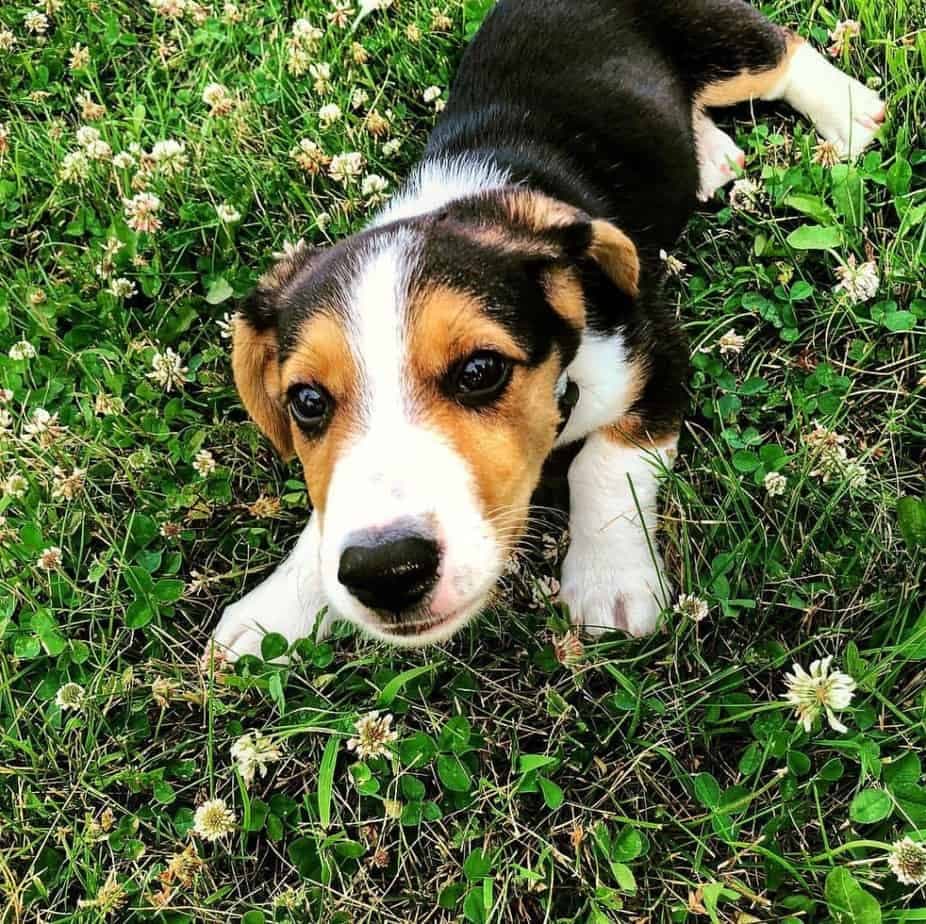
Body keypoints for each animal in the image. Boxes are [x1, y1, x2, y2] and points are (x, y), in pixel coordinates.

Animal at [208, 0, 884, 656]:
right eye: (307, 402)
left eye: (481, 371)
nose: (386, 570)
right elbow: (323, 517)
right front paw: (276, 608)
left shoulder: (656, 353)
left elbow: (604, 464)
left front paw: (611, 581)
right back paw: (712, 153)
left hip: (714, 38)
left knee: (781, 52)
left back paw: (849, 114)